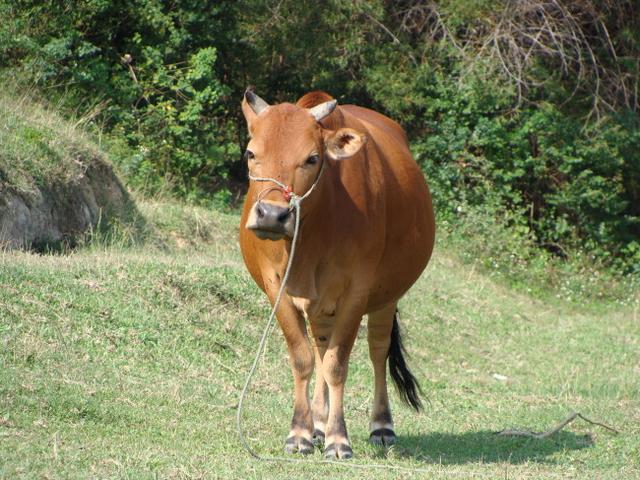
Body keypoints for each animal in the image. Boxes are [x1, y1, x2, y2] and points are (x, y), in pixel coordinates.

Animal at [240, 88, 436, 460]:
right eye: (251, 153)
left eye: (312, 158)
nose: (272, 215)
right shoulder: (277, 289)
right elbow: (303, 358)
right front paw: (300, 433)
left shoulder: (357, 293)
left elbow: (337, 364)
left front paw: (338, 439)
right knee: (319, 345)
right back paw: (317, 422)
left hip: (387, 298)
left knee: (377, 349)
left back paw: (381, 426)